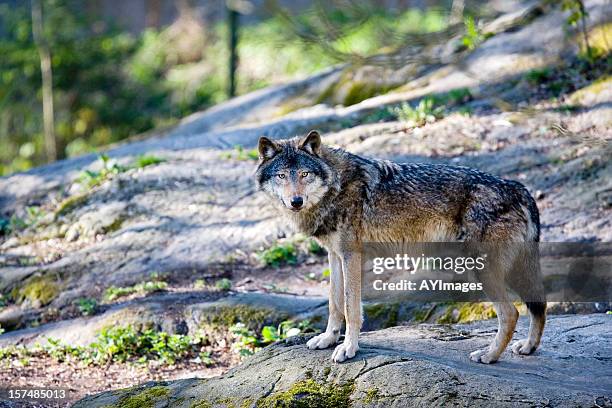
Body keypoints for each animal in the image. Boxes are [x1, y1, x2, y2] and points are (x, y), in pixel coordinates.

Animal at [253, 131, 544, 364]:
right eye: (281, 176)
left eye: (304, 174)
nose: (296, 201)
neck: (336, 186)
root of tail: (519, 188)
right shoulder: (334, 256)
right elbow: (334, 304)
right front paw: (327, 339)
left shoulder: (351, 256)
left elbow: (350, 308)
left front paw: (348, 349)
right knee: (538, 305)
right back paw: (528, 347)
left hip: (482, 269)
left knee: (511, 313)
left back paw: (489, 355)